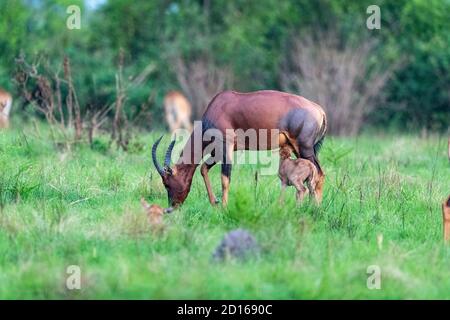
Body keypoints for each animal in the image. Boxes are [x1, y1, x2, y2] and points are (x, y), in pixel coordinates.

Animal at [152, 90, 326, 210]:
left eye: (167, 183)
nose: (172, 206)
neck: (218, 106)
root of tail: (319, 110)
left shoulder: (225, 146)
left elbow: (225, 178)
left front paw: (224, 207)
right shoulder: (217, 150)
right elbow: (203, 169)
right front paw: (214, 202)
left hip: (304, 147)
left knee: (319, 174)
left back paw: (315, 207)